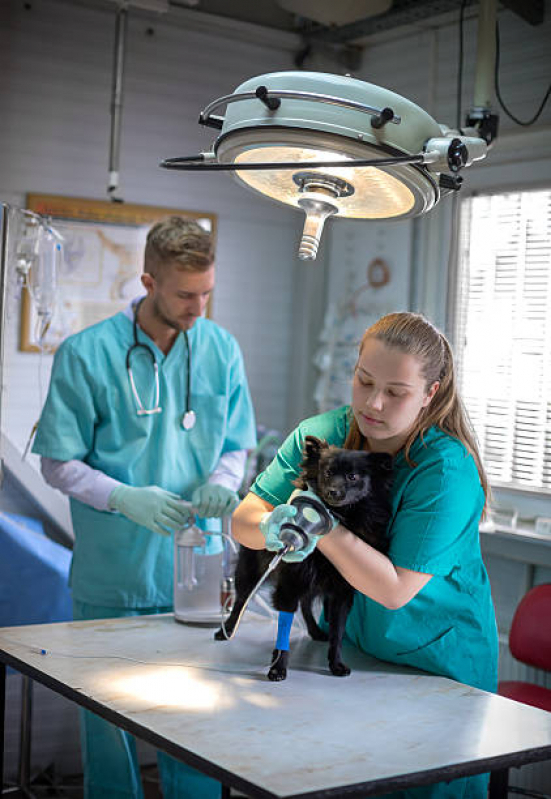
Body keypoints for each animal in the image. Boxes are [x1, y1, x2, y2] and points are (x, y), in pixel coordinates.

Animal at [216, 438, 392, 680]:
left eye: (352, 477)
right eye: (327, 473)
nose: (333, 492)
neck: (344, 517)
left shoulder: (342, 593)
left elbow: (337, 633)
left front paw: (336, 663)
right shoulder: (289, 584)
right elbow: (284, 628)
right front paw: (278, 666)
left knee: (307, 604)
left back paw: (315, 631)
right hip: (250, 572)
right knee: (240, 600)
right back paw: (227, 630)